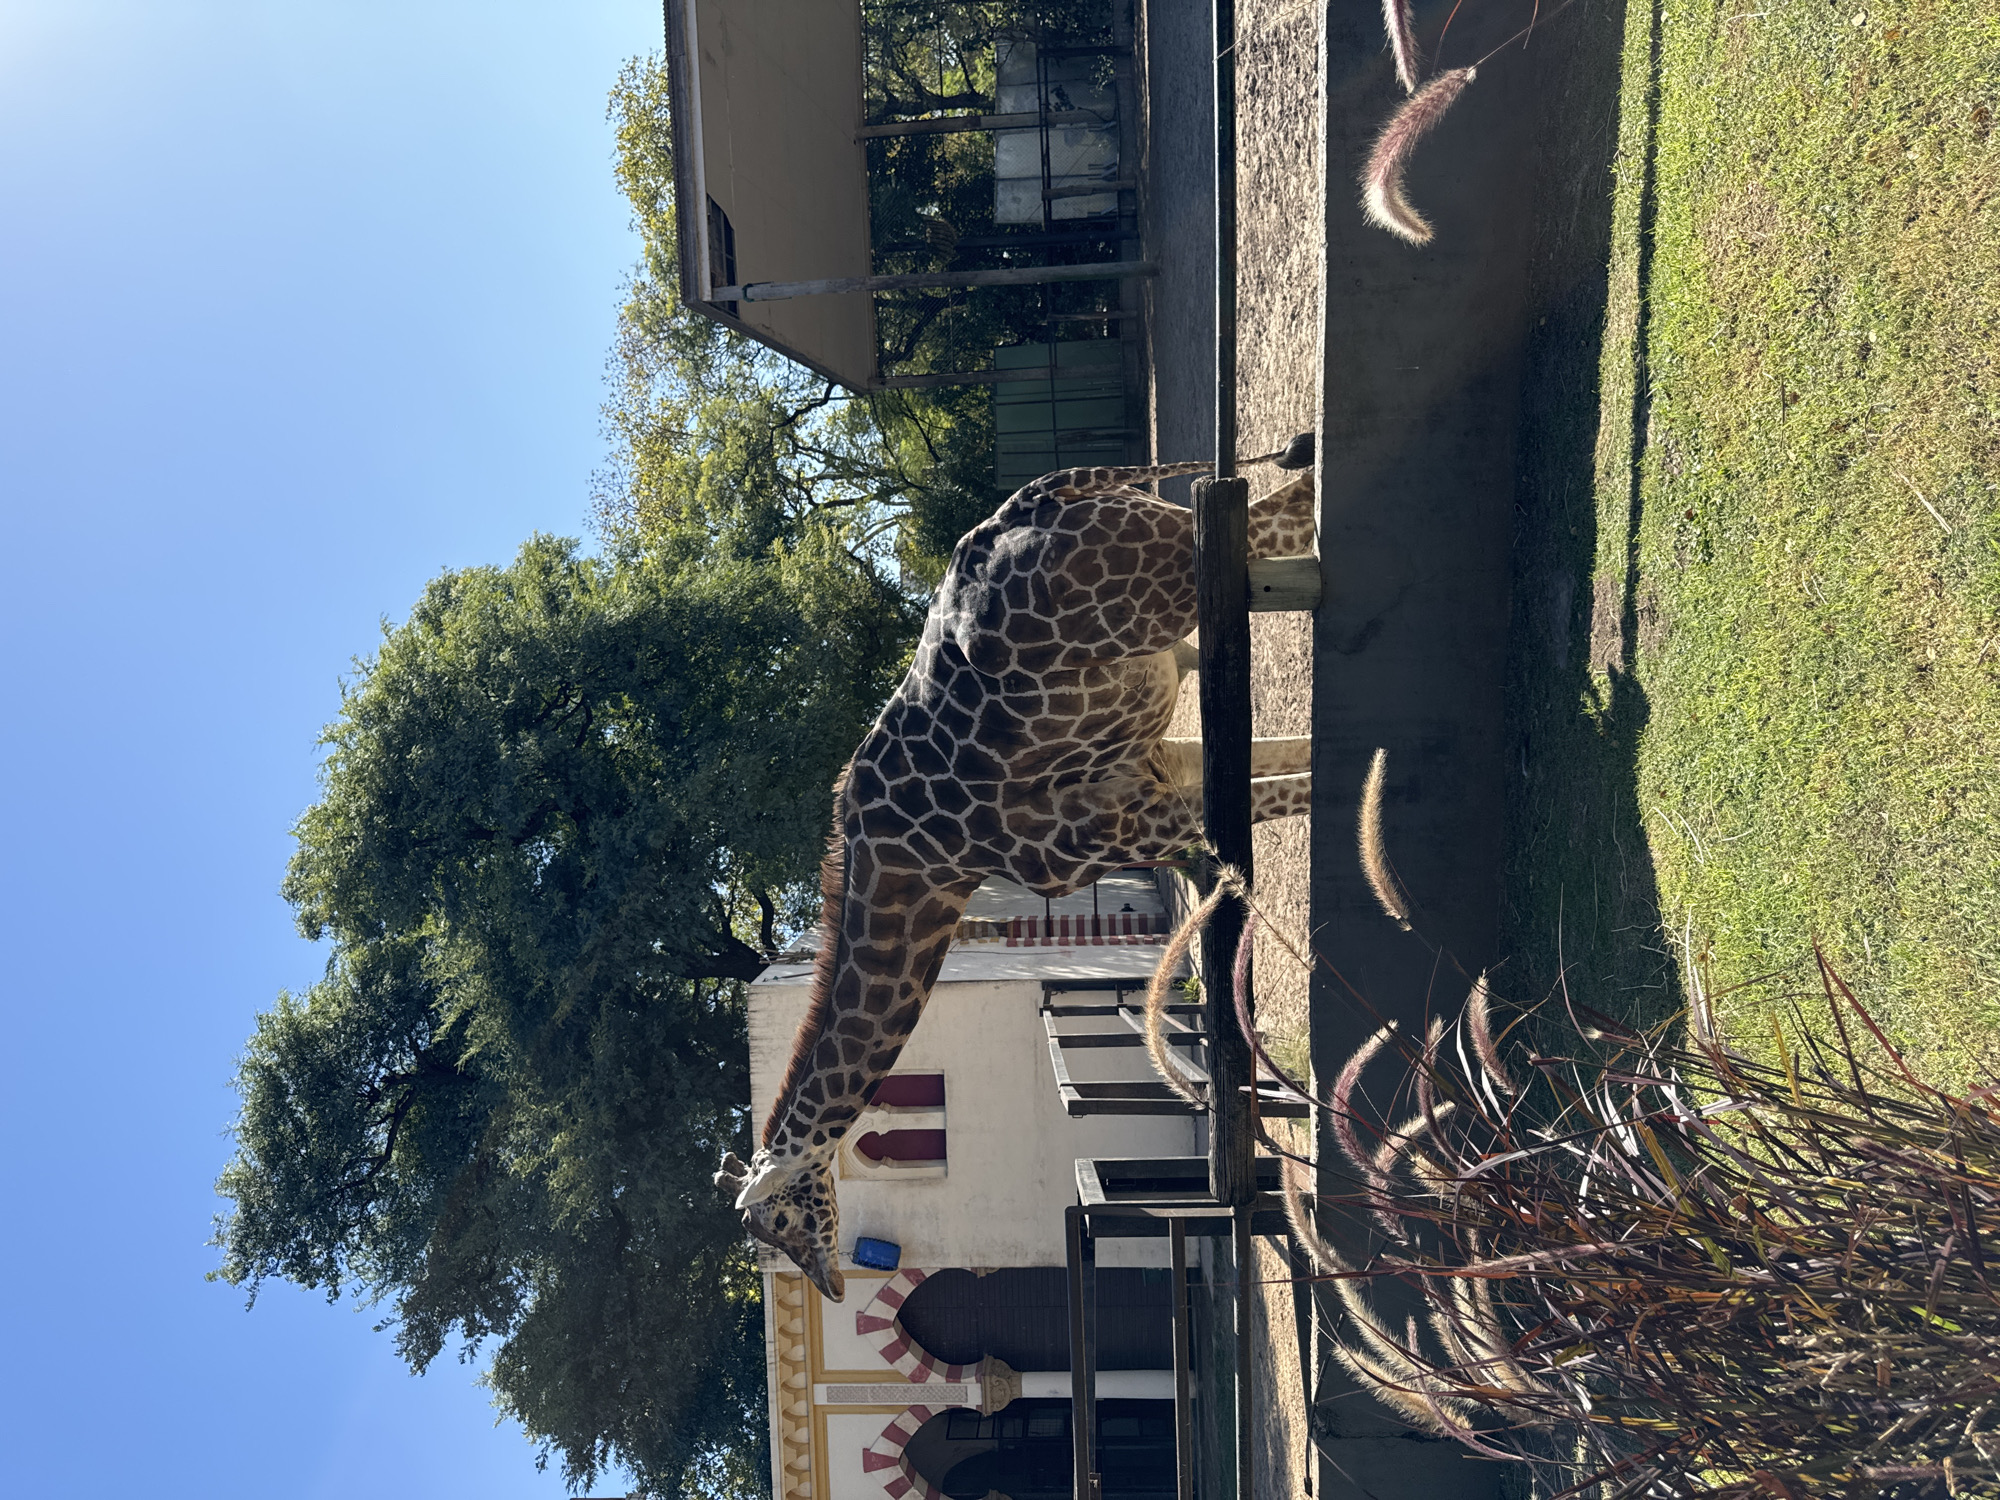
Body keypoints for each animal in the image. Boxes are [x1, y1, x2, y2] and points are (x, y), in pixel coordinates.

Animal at [714, 459, 1318, 1299]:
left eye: (783, 1217)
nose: (831, 1283)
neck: (933, 869)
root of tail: (1035, 502)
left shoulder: (1129, 826)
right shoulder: (1153, 782)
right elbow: (1288, 776)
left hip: (1169, 584)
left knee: (1292, 506)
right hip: (1172, 572)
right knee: (1292, 506)